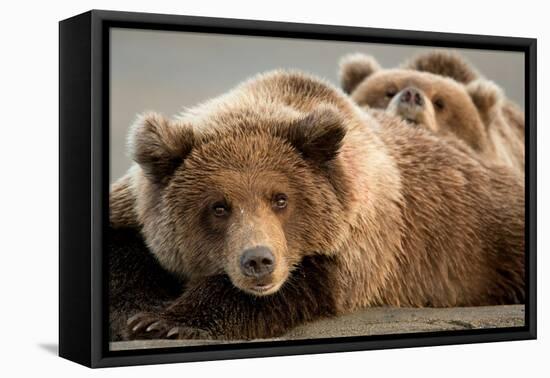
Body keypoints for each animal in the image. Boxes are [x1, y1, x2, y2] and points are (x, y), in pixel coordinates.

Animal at [109, 69, 528, 342]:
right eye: (218, 206)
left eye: (281, 199)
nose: (258, 260)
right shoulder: (134, 207)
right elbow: (123, 255)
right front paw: (141, 314)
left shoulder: (360, 237)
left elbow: (305, 283)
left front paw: (169, 320)